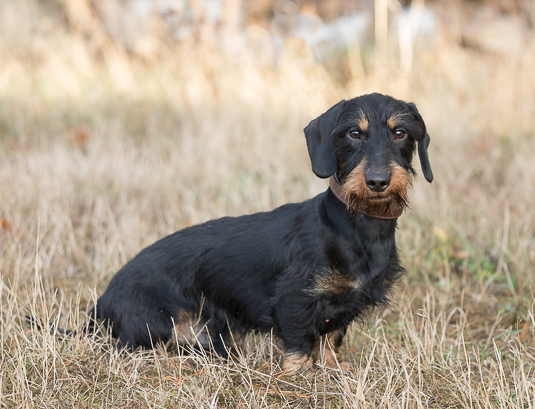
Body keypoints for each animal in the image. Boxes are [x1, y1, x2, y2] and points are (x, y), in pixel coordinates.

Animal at [79, 93, 434, 372]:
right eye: (353, 133)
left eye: (400, 133)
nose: (377, 181)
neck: (358, 226)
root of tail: (101, 305)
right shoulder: (293, 300)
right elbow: (298, 346)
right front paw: (298, 378)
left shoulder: (344, 307)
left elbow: (332, 339)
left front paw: (334, 368)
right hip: (155, 323)